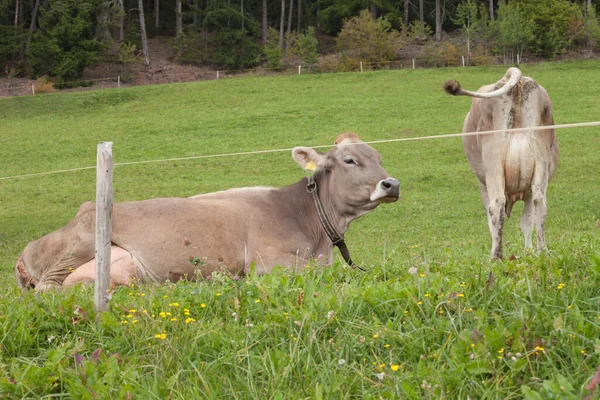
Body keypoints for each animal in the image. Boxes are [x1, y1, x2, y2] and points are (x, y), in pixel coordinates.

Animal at [14, 133, 398, 292]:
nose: (391, 183)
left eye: (379, 157)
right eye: (349, 160)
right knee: (48, 290)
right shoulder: (269, 264)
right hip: (80, 249)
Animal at [442, 67, 560, 260]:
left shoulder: (483, 185)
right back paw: (543, 251)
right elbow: (528, 220)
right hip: (541, 158)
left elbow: (494, 221)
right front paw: (529, 252)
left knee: (496, 204)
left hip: (493, 162)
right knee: (540, 203)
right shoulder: (529, 189)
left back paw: (496, 256)